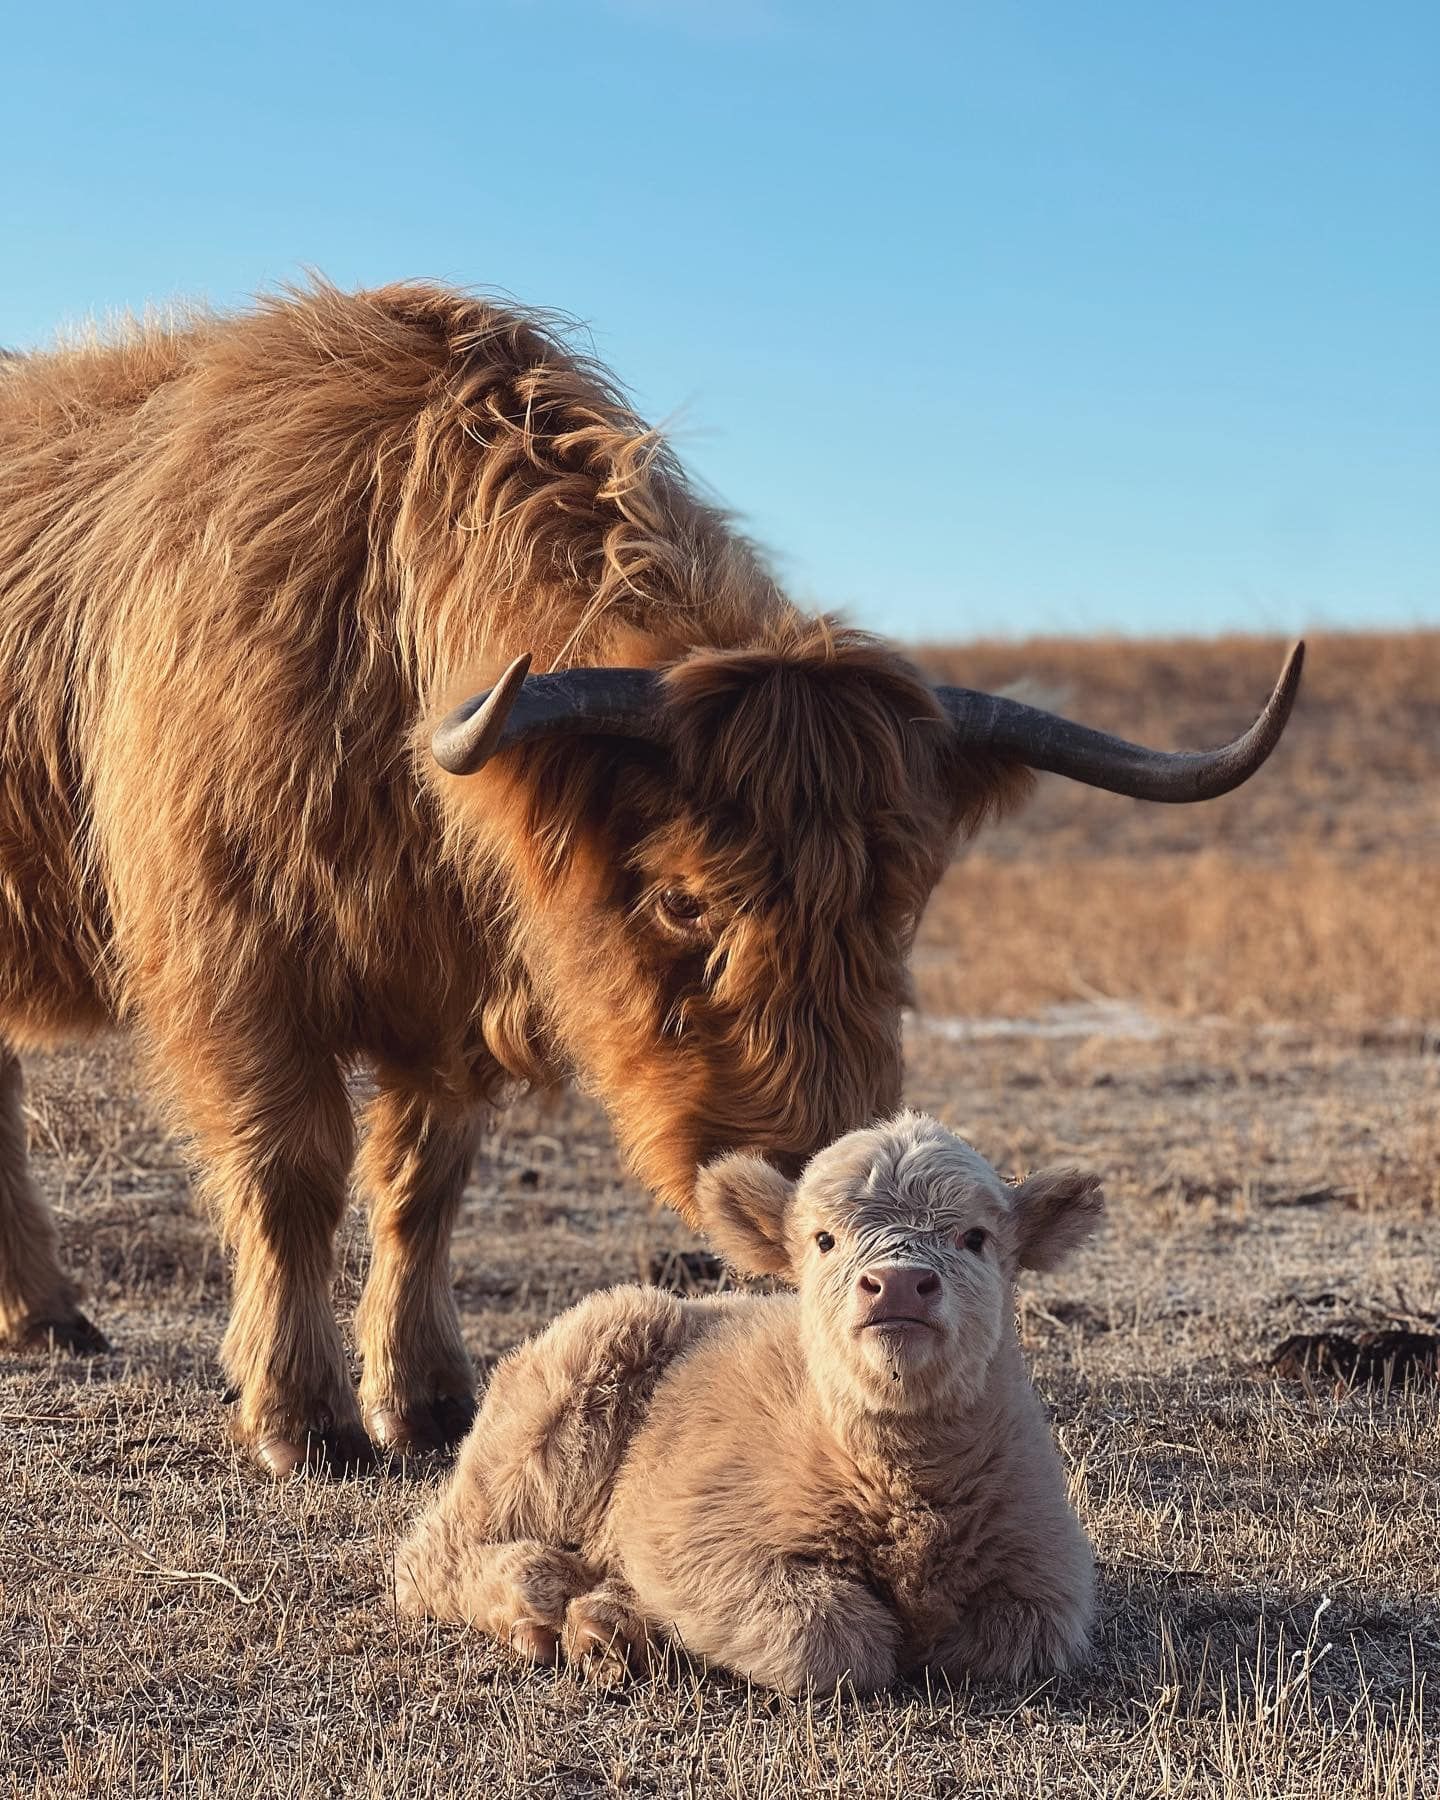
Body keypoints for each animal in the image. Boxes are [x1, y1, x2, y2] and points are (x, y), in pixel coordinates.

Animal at [0, 280, 1302, 1475]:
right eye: (683, 899)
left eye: (899, 903)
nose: (812, 1169)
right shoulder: (237, 966)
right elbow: (294, 1181)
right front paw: (300, 1419)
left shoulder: (454, 997)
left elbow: (422, 1188)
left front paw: (428, 1400)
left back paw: (46, 1315)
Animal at [395, 1113, 1102, 1694]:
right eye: (824, 1240)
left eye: (975, 1238)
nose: (898, 1284)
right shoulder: (690, 1528)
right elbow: (828, 1638)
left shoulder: (1048, 1585)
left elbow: (1000, 1640)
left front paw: (613, 1615)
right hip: (555, 1408)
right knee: (431, 1556)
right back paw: (542, 1600)